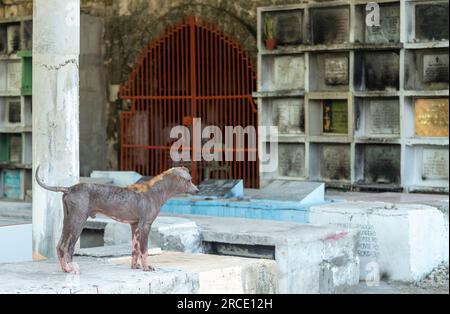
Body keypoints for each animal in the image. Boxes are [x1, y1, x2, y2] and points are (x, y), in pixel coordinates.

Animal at [35, 166, 197, 274]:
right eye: (188, 180)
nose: (197, 190)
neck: (154, 191)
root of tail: (69, 188)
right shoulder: (145, 226)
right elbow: (144, 250)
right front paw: (146, 268)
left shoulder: (135, 226)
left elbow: (135, 250)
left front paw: (135, 267)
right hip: (78, 221)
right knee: (68, 247)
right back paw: (71, 268)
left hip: (68, 221)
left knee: (59, 246)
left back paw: (65, 268)